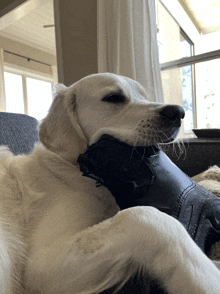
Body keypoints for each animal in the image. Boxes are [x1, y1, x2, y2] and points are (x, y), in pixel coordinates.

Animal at [0, 72, 220, 294]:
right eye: (113, 98)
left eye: (144, 96)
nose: (178, 112)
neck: (75, 174)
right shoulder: (41, 264)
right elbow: (147, 217)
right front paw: (209, 278)